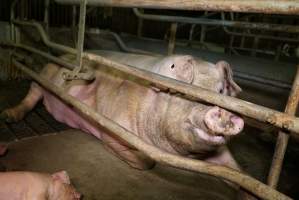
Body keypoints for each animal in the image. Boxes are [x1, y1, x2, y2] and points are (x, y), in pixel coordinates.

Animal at [0, 52, 244, 170]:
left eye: (220, 91)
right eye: (181, 94)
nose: (221, 112)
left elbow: (237, 170)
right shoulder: (115, 128)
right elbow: (147, 162)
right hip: (43, 75)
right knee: (32, 94)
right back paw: (8, 116)